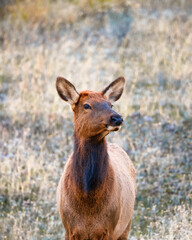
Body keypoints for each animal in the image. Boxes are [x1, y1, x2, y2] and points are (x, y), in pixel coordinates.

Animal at [55, 77, 136, 240]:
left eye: (110, 104)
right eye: (86, 105)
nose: (117, 118)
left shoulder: (110, 229)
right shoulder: (68, 229)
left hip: (126, 224)